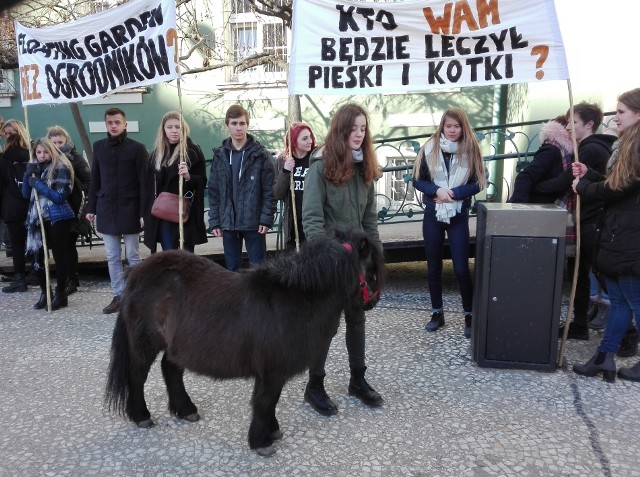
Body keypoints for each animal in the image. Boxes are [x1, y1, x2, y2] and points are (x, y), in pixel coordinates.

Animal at [105, 230, 384, 454]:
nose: (373, 303)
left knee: (170, 369)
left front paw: (272, 431)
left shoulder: (271, 373)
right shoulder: (272, 372)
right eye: (371, 271)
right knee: (137, 377)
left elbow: (269, 402)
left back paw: (186, 410)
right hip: (144, 343)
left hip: (177, 345)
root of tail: (136, 273)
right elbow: (265, 402)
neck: (294, 299)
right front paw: (261, 442)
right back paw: (141, 416)